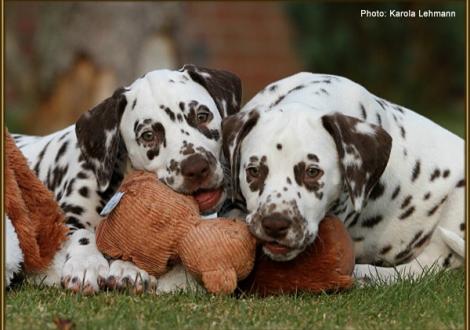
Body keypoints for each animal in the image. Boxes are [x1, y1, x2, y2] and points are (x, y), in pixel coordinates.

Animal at [11, 63, 242, 292]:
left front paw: (128, 268)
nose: (196, 168)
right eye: (148, 135)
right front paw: (86, 264)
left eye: (202, 116)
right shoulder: (62, 219)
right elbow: (82, 234)